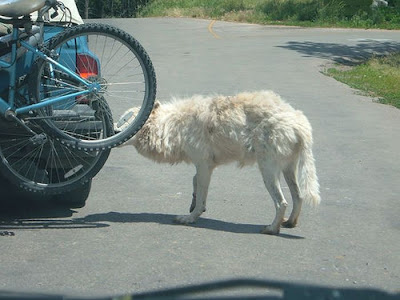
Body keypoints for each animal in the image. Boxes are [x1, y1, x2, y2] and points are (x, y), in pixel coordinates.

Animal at [117, 90, 320, 236]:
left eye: (127, 121)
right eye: (120, 120)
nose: (113, 131)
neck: (171, 126)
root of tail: (299, 122)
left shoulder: (203, 165)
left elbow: (200, 192)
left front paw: (190, 217)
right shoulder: (203, 166)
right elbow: (195, 184)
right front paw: (194, 206)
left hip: (268, 172)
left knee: (282, 203)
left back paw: (271, 229)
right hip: (287, 170)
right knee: (298, 196)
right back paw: (290, 223)